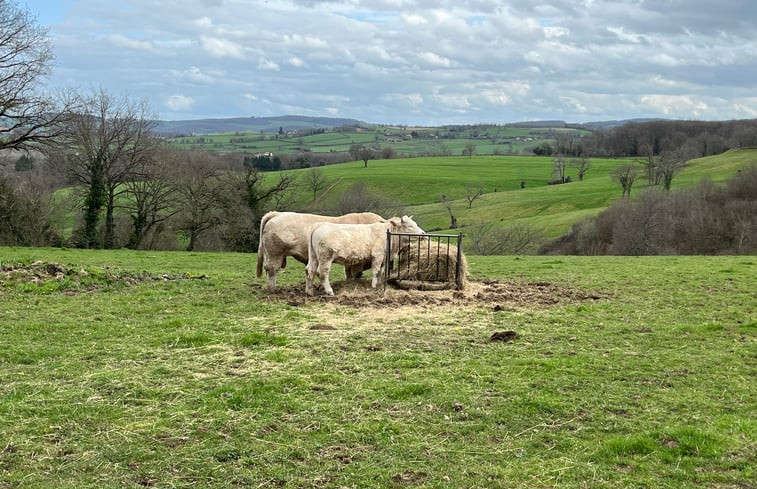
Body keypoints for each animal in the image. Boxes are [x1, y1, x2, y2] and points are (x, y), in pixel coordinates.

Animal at [255, 211, 384, 290]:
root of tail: (276, 214)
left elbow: (349, 273)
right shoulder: (358, 260)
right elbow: (355, 273)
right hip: (275, 253)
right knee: (271, 269)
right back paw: (272, 289)